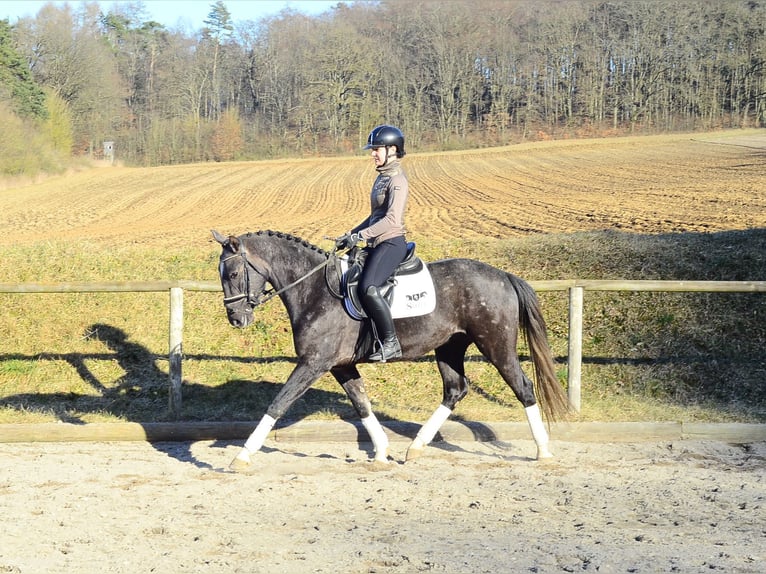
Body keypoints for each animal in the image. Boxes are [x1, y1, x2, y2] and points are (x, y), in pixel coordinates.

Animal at [213, 231, 572, 472]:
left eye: (233, 273)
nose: (236, 319)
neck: (315, 289)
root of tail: (504, 276)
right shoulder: (340, 365)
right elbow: (361, 404)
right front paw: (382, 452)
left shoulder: (314, 363)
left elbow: (279, 403)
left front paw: (242, 455)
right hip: (450, 347)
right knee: (454, 390)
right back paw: (415, 447)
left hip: (495, 344)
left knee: (523, 388)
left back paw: (543, 451)